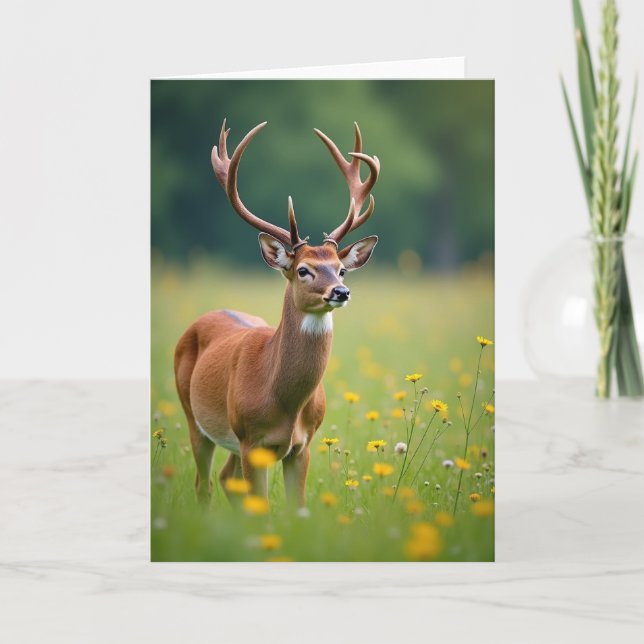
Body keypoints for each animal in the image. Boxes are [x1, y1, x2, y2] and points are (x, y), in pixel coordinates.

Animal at [174, 119, 380, 508]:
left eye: (341, 270)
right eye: (303, 270)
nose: (340, 292)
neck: (285, 402)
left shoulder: (302, 446)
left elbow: (296, 507)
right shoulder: (251, 440)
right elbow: (261, 507)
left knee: (225, 479)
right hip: (195, 417)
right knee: (202, 484)